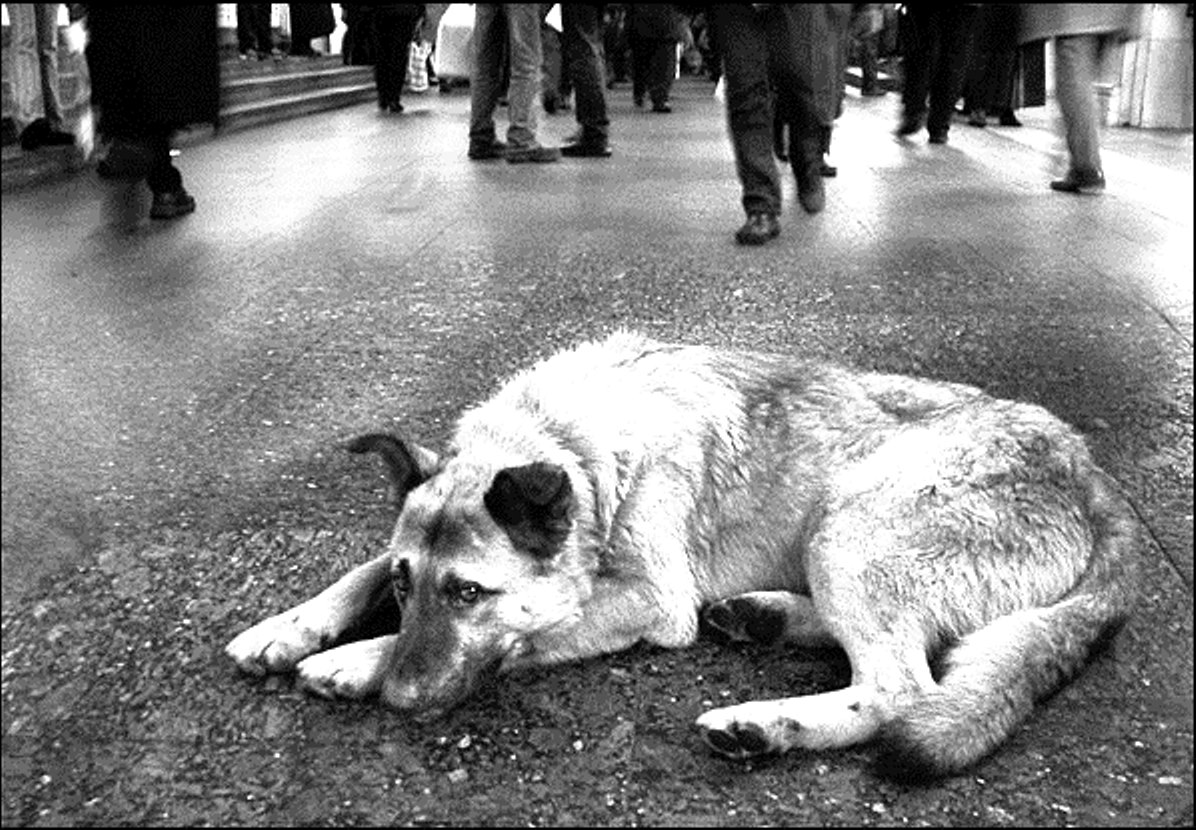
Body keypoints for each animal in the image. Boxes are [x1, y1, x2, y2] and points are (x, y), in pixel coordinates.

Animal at [226, 330, 1138, 779]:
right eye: (410, 581)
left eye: (470, 594)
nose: (402, 700)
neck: (571, 441)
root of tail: (1094, 474)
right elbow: (359, 569)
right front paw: (292, 627)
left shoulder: (650, 600)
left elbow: (529, 636)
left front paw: (361, 660)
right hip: (838, 541)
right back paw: (764, 618)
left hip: (850, 528)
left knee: (902, 689)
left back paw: (764, 724)